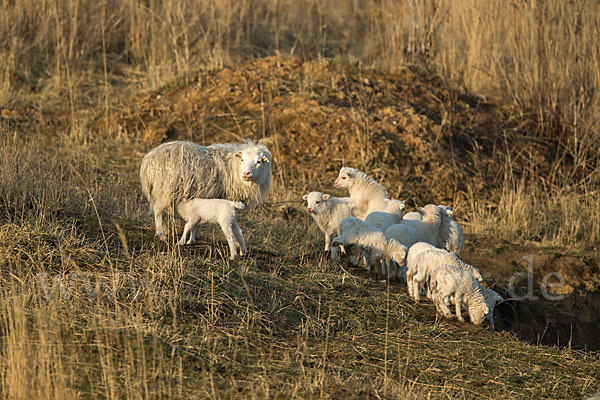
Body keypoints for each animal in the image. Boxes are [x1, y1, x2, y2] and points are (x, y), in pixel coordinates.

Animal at [139, 141, 270, 241]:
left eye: (259, 161)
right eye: (242, 159)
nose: (246, 173)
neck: (233, 167)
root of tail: (149, 160)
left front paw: (194, 236)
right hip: (165, 189)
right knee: (157, 210)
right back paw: (161, 234)